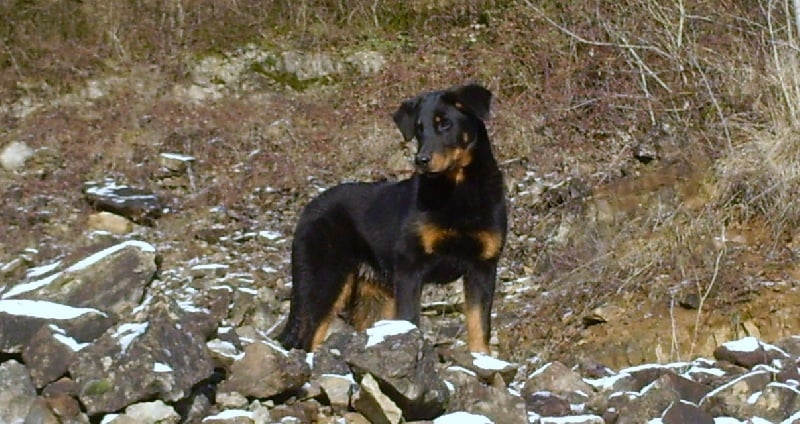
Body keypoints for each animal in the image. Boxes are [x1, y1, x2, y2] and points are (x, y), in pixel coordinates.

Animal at [277, 83, 507, 353]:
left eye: (445, 124)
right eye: (419, 129)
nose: (421, 160)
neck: (458, 191)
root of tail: (307, 209)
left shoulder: (483, 267)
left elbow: (479, 326)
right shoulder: (410, 267)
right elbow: (410, 321)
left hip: (374, 296)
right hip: (323, 281)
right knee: (305, 338)